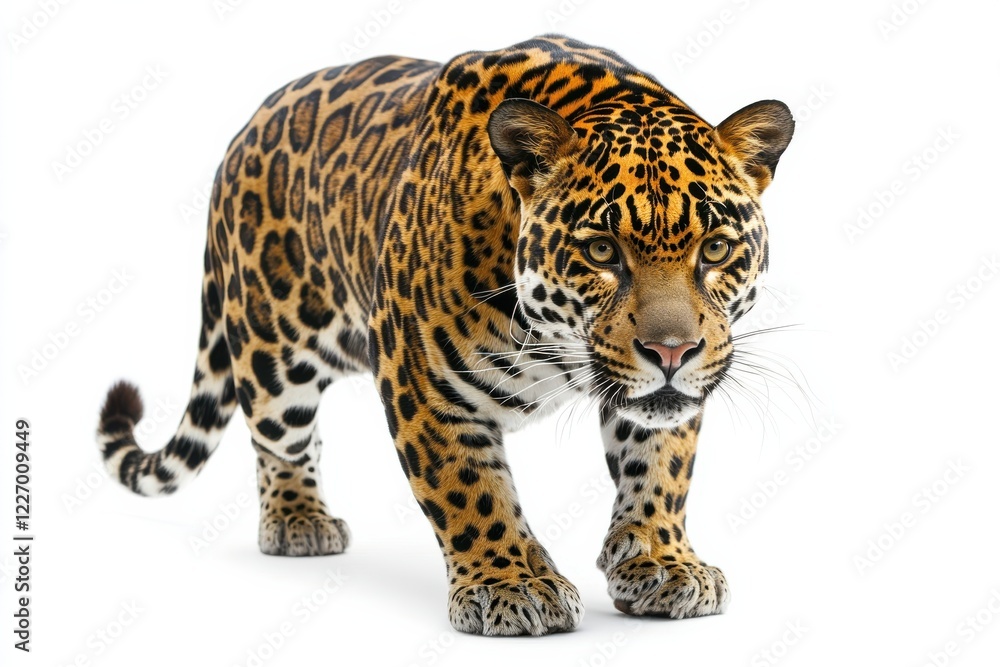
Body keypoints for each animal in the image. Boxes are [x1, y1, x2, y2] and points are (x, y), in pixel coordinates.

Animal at [95, 35, 793, 636]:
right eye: (601, 251)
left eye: (716, 249)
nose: (671, 351)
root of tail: (246, 129)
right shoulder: (422, 379)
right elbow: (469, 489)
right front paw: (511, 586)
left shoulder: (666, 396)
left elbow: (660, 470)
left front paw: (662, 562)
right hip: (271, 354)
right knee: (281, 439)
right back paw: (299, 520)